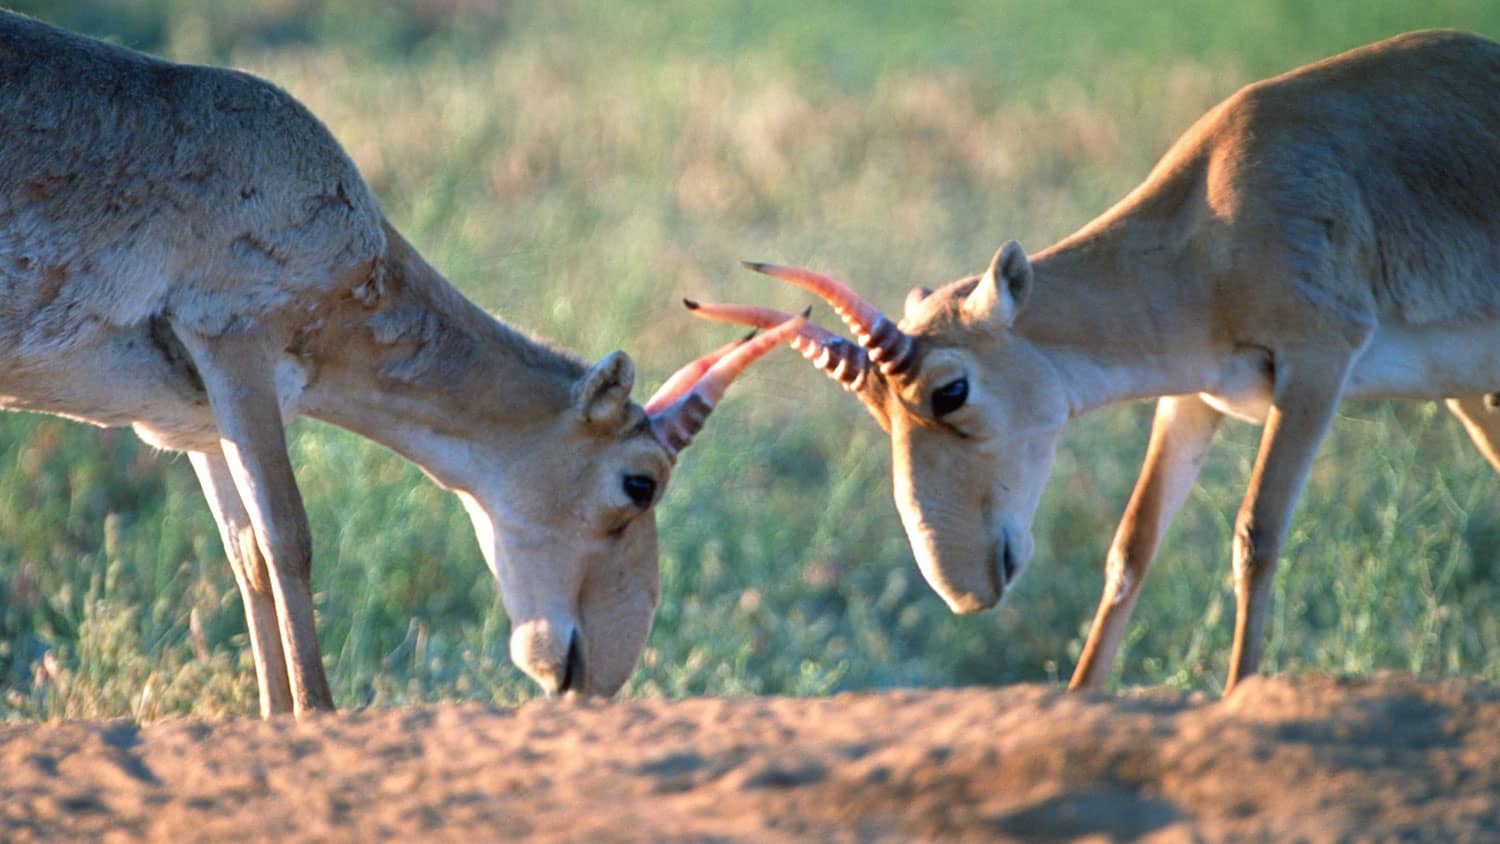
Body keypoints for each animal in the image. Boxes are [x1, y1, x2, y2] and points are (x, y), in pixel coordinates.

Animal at [0, 9, 810, 716]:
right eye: (641, 482)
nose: (602, 675)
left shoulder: (194, 420)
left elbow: (246, 556)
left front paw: (272, 718)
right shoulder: (234, 341)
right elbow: (288, 537)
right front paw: (316, 715)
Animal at [696, 31, 1500, 692]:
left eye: (950, 390)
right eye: (877, 410)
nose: (964, 590)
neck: (1215, 207)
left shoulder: (1317, 363)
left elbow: (1256, 535)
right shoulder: (1192, 396)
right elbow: (1131, 547)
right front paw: (1081, 698)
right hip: (1470, 394)